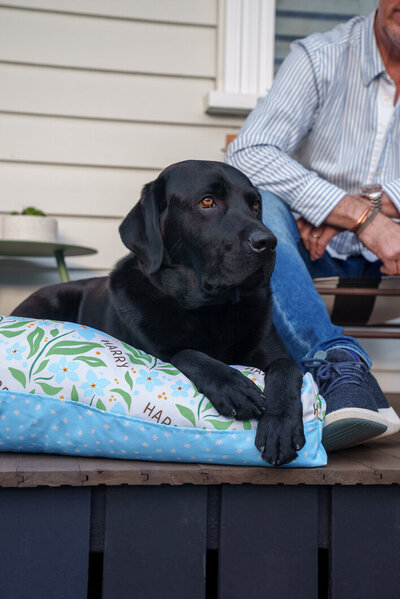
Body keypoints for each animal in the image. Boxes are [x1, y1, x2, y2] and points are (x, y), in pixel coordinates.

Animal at [12, 162, 306, 466]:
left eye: (255, 205)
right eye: (207, 201)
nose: (268, 242)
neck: (212, 309)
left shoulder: (277, 354)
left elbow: (287, 368)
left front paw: (280, 426)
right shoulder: (154, 351)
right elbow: (186, 353)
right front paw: (233, 386)